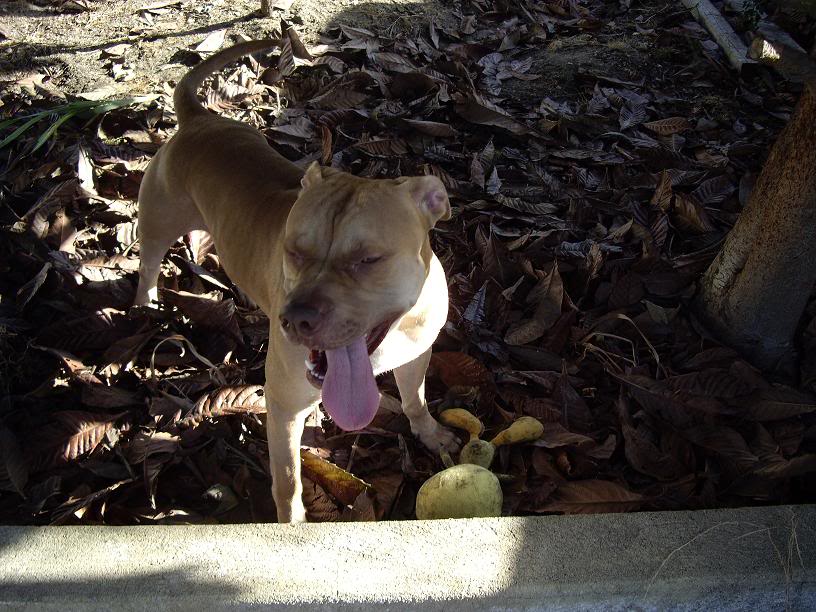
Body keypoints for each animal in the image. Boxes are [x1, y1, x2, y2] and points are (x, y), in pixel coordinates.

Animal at [134, 40, 460, 524]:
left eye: (367, 259)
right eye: (294, 250)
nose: (297, 320)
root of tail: (199, 119)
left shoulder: (415, 355)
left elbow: (416, 400)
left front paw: (431, 433)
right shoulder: (284, 406)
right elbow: (287, 480)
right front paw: (292, 524)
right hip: (158, 222)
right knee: (148, 264)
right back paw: (144, 302)